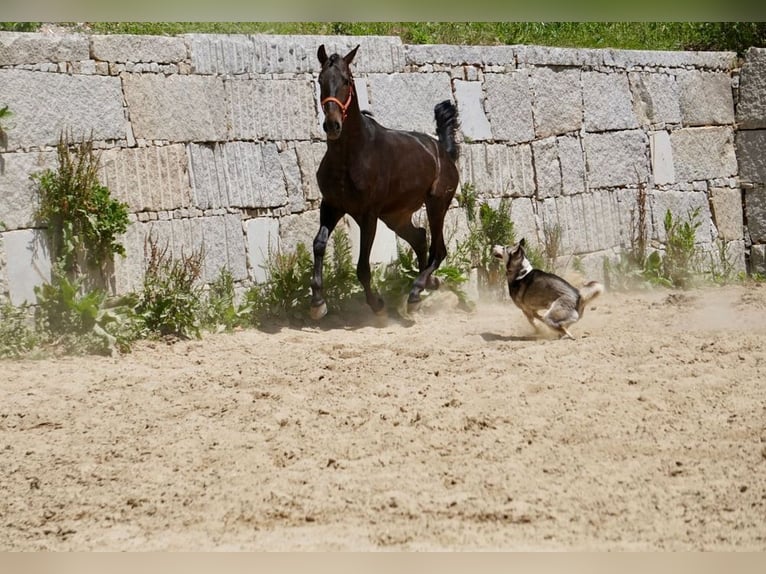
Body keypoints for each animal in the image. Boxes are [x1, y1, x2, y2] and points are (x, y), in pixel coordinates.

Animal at [312, 45, 462, 322]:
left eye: (347, 81)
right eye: (320, 80)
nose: (333, 125)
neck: (351, 154)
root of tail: (442, 151)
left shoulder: (368, 214)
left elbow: (362, 266)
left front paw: (377, 305)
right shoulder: (331, 206)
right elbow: (318, 245)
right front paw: (317, 302)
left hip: (437, 205)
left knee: (438, 250)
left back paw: (416, 293)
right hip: (396, 216)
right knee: (420, 239)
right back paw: (430, 283)